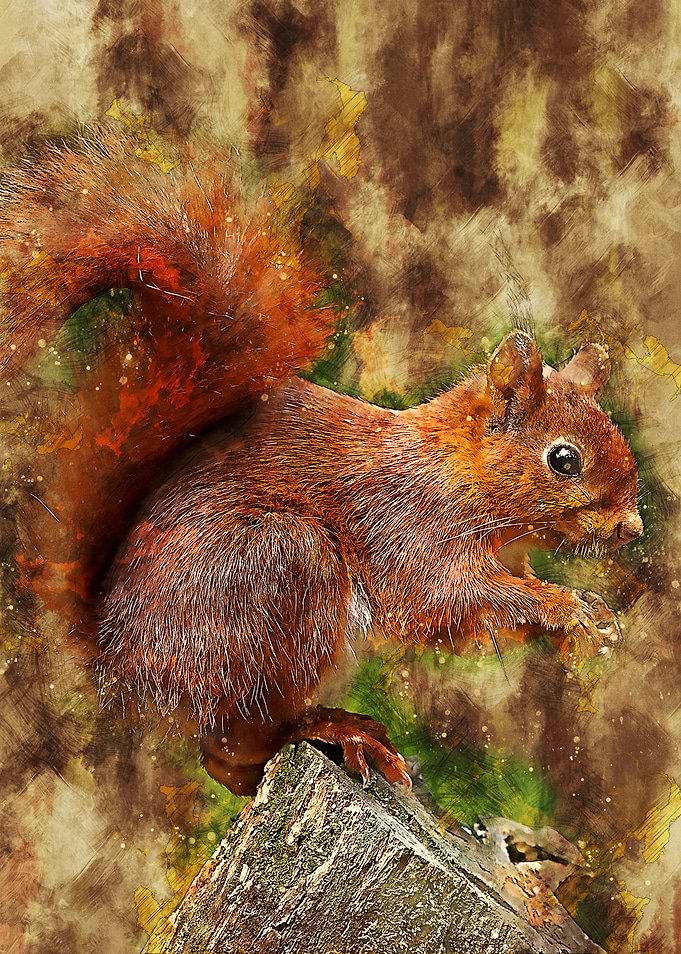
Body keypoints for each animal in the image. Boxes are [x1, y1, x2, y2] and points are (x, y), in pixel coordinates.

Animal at [0, 128, 643, 795]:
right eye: (563, 458)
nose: (632, 529)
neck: (454, 472)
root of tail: (116, 662)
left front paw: (588, 625)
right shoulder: (408, 530)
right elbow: (446, 600)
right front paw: (567, 607)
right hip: (281, 573)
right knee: (230, 750)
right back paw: (337, 731)